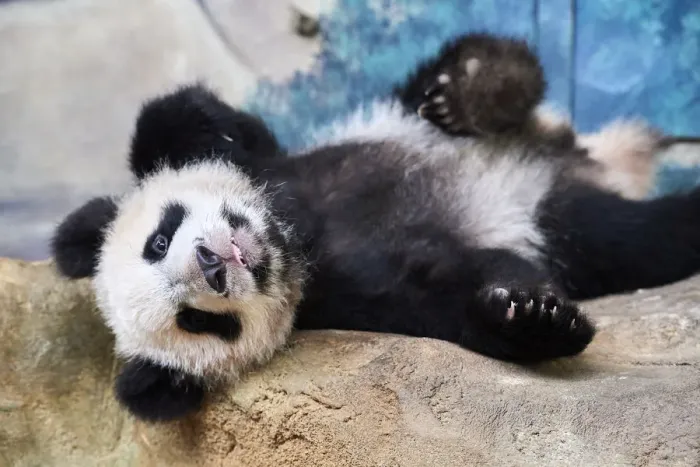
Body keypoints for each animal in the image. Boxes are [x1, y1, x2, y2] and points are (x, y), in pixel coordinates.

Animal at [51, 33, 693, 423]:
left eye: (159, 240)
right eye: (197, 322)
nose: (213, 262)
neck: (296, 239)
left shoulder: (291, 162)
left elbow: (188, 124)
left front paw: (200, 130)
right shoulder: (350, 298)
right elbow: (437, 294)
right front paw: (531, 315)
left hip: (410, 118)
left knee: (471, 66)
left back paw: (472, 90)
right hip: (565, 222)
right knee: (640, 236)